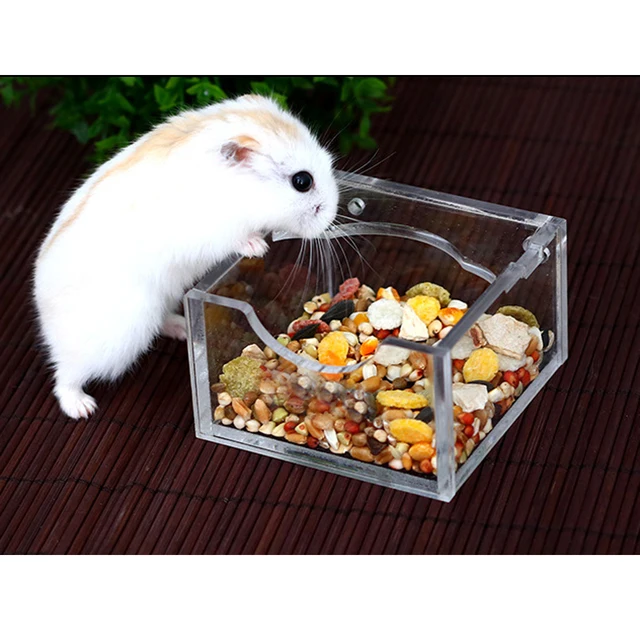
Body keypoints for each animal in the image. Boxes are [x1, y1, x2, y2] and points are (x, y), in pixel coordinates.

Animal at [34, 94, 339, 419]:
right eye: (302, 181)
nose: (332, 215)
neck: (242, 192)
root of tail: (43, 313)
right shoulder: (215, 231)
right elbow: (237, 240)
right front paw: (259, 247)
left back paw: (182, 329)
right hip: (112, 342)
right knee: (65, 376)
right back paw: (82, 408)